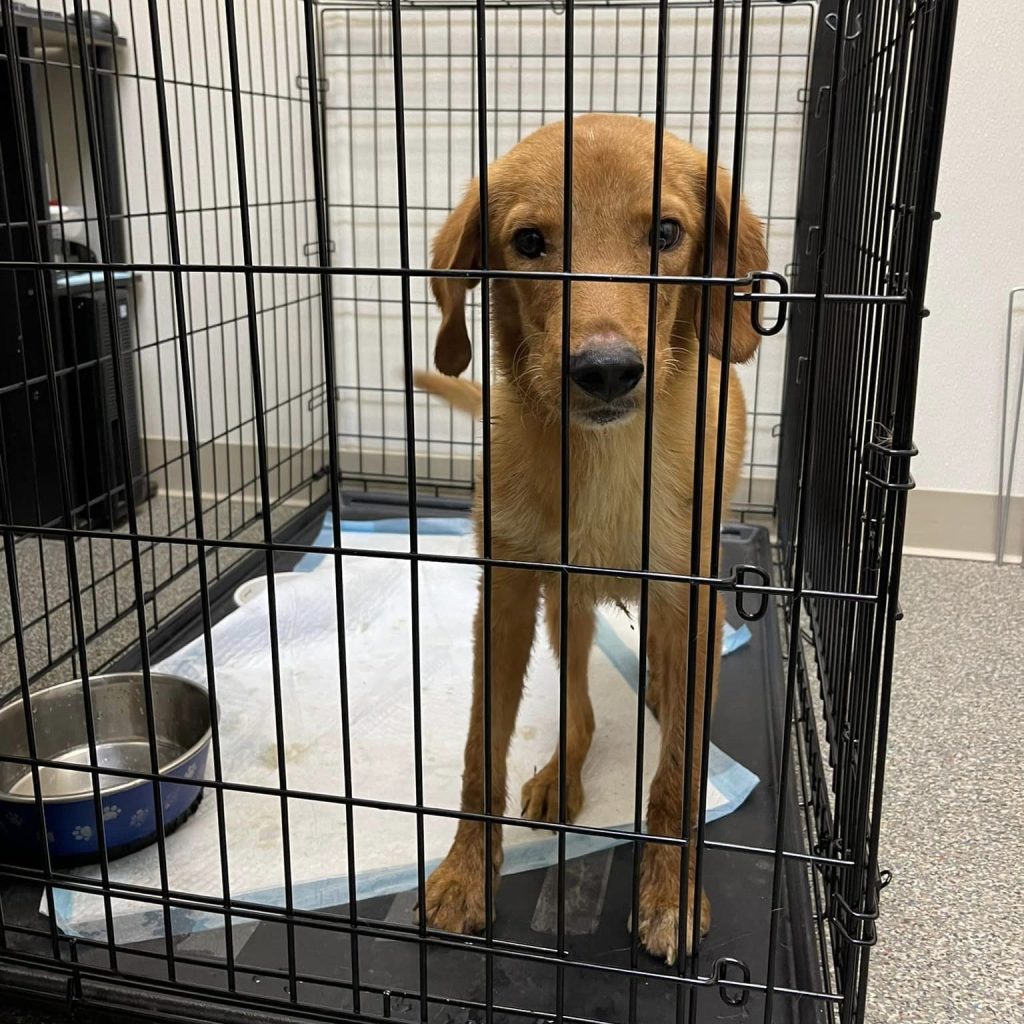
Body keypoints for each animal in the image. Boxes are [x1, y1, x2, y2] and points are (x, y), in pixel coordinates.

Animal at [413, 116, 761, 962]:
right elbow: (479, 755)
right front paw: (465, 875)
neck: (603, 459)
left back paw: (668, 698)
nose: (605, 371)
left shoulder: (690, 597)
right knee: (583, 711)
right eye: (530, 241)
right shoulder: (505, 596)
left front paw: (669, 891)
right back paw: (562, 774)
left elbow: (676, 779)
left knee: (673, 695)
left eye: (665, 233)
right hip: (563, 606)